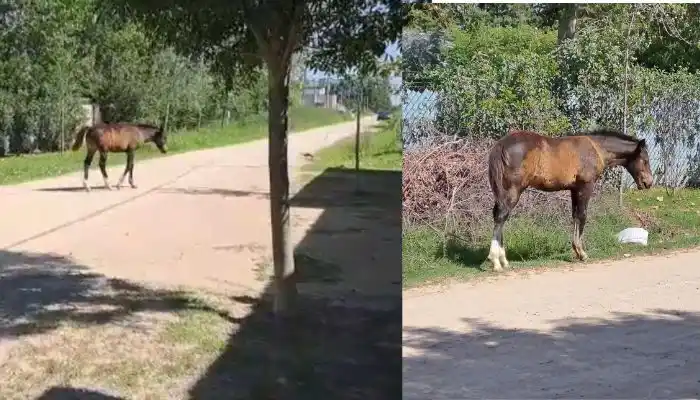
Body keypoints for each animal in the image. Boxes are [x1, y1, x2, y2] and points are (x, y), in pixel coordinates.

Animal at [486, 129, 653, 272]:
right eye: (645, 160)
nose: (648, 183)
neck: (596, 148)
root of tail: (501, 144)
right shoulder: (585, 187)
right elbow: (582, 216)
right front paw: (582, 253)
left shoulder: (574, 189)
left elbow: (575, 217)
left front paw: (577, 251)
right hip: (513, 190)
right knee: (501, 217)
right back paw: (496, 261)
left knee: (499, 216)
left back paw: (504, 261)